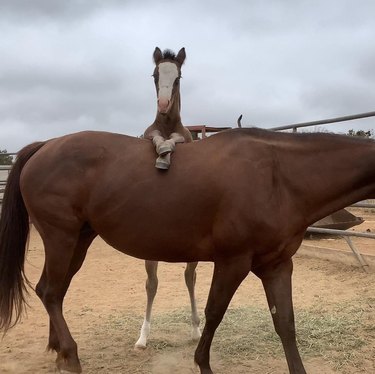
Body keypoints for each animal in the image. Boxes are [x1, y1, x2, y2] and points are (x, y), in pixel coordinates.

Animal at [0, 127, 375, 372]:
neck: (277, 175)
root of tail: (45, 146)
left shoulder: (278, 264)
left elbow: (285, 323)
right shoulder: (233, 261)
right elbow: (213, 314)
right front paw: (202, 363)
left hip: (79, 240)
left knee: (56, 292)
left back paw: (59, 353)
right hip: (60, 237)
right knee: (49, 291)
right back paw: (71, 356)